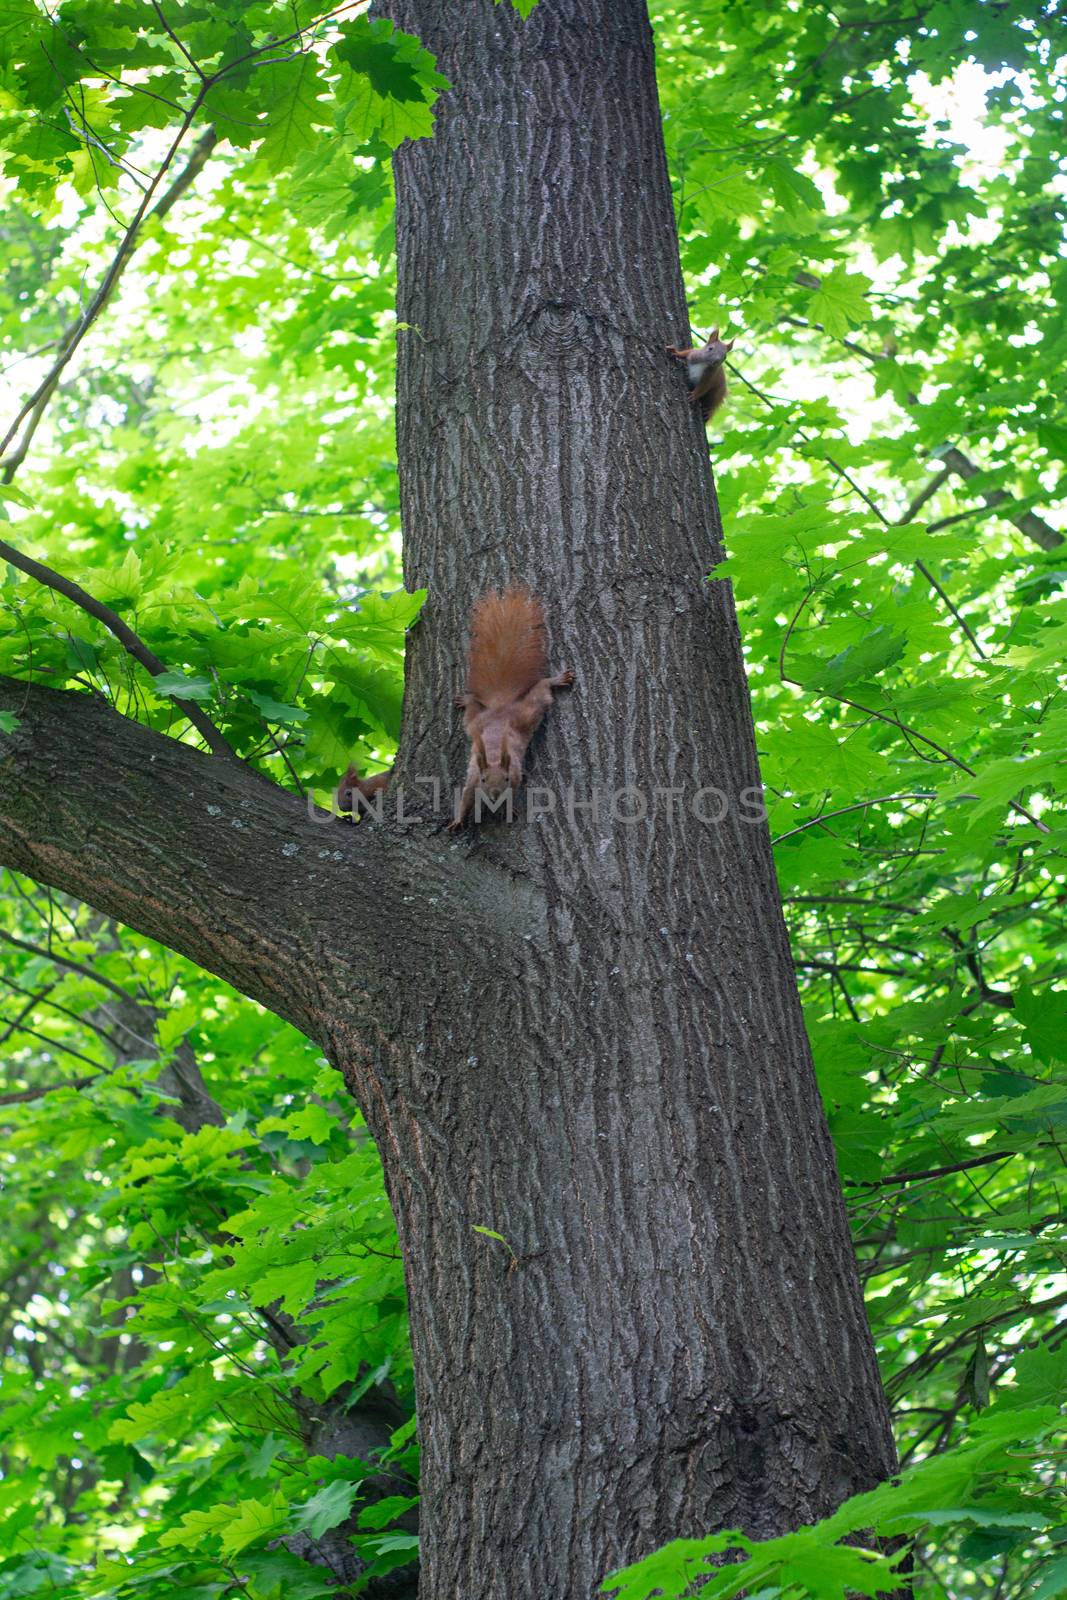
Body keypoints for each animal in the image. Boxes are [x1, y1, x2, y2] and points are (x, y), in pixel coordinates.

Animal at [451, 588, 575, 838]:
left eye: (506, 778)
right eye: (484, 779)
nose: (495, 794)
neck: (494, 756)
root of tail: (501, 706)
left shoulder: (515, 777)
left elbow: (512, 796)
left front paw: (505, 810)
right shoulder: (473, 781)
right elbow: (466, 798)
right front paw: (459, 820)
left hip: (528, 712)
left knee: (542, 688)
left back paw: (557, 679)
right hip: (478, 722)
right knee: (473, 710)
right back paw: (466, 699)